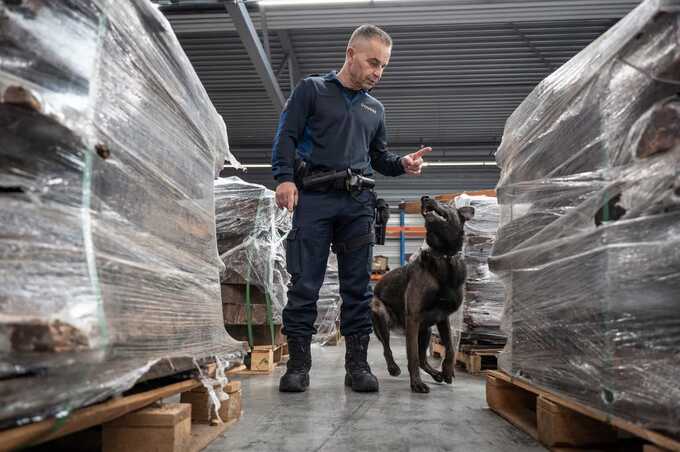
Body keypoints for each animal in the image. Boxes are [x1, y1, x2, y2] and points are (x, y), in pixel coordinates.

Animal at [372, 197, 472, 392]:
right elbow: (412, 356)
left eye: (447, 205)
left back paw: (437, 374)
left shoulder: (443, 317)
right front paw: (417, 384)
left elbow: (450, 348)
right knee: (387, 348)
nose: (425, 197)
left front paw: (447, 371)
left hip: (426, 329)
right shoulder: (413, 318)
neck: (444, 256)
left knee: (423, 359)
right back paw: (393, 367)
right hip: (381, 313)